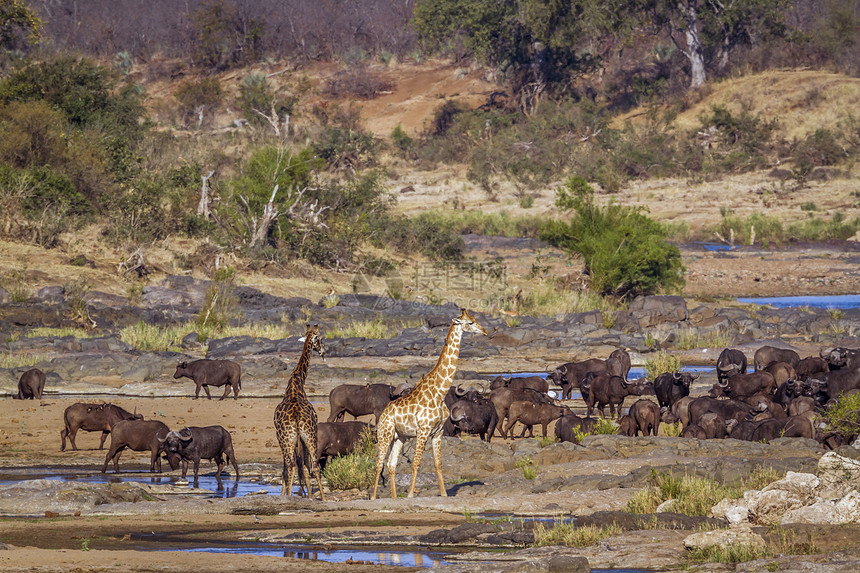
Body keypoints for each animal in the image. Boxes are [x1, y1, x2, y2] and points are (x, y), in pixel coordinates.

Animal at [276, 324, 326, 498]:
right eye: (321, 338)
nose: (324, 351)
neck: (296, 383)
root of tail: (297, 417)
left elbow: (295, 469)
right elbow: (303, 468)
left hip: (290, 439)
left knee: (293, 466)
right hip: (307, 436)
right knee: (312, 466)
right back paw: (321, 498)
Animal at [372, 306, 490, 498]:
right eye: (470, 322)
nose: (485, 331)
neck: (439, 393)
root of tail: (383, 413)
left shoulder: (438, 432)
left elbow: (438, 464)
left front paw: (443, 493)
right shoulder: (423, 430)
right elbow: (416, 463)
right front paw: (410, 494)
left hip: (400, 436)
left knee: (391, 464)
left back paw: (395, 497)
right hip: (385, 433)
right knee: (379, 463)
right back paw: (374, 496)